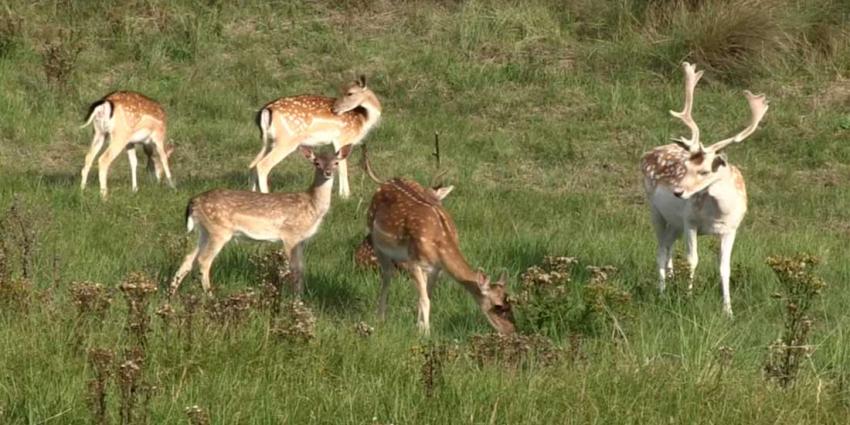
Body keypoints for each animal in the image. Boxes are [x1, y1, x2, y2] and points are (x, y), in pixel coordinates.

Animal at [169, 144, 352, 296]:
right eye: (316, 163)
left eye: (336, 162)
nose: (328, 173)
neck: (312, 205)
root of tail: (194, 202)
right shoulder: (290, 235)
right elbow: (293, 268)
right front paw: (294, 299)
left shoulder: (302, 240)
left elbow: (301, 268)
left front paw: (300, 297)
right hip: (219, 230)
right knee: (204, 260)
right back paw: (210, 295)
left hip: (204, 230)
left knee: (188, 258)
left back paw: (170, 294)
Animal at [248, 75, 380, 197]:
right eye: (344, 91)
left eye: (349, 93)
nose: (334, 109)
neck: (363, 120)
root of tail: (266, 110)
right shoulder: (343, 138)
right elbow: (343, 168)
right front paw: (345, 196)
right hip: (286, 141)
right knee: (263, 165)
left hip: (269, 141)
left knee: (253, 164)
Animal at [360, 146, 512, 334]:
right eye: (497, 306)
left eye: (510, 301)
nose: (511, 331)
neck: (440, 245)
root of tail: (386, 181)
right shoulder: (414, 262)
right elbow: (425, 300)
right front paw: (426, 333)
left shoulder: (435, 270)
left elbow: (426, 297)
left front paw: (419, 328)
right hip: (377, 240)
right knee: (387, 276)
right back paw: (380, 319)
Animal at [636, 61, 768, 316]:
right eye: (685, 166)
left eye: (705, 171)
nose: (678, 192)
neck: (718, 214)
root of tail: (647, 153)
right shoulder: (690, 221)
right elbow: (692, 260)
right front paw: (688, 298)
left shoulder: (731, 228)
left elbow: (724, 267)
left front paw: (728, 310)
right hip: (656, 211)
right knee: (660, 250)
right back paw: (662, 291)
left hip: (674, 223)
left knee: (668, 247)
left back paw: (670, 281)